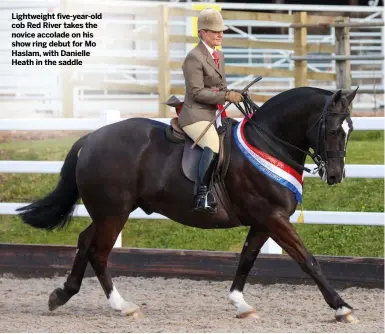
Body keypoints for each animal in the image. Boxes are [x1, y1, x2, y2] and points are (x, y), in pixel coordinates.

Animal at [16, 87, 358, 322]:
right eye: (331, 130)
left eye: (349, 130)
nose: (335, 175)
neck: (268, 144)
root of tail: (92, 137)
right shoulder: (273, 217)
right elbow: (307, 260)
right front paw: (341, 307)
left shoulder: (264, 221)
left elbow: (247, 258)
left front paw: (240, 303)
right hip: (114, 212)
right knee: (98, 252)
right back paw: (121, 306)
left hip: (107, 212)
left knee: (85, 241)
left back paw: (62, 294)